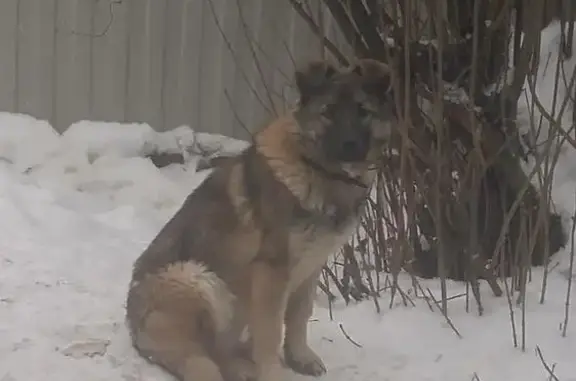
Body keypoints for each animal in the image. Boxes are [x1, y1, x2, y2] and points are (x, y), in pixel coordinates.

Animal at [125, 57, 396, 380]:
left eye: (363, 111)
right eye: (328, 112)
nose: (350, 145)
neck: (317, 170)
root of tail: (134, 329)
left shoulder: (311, 266)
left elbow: (299, 316)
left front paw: (299, 358)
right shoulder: (272, 270)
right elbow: (270, 330)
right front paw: (274, 372)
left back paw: (242, 366)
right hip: (196, 278)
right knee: (202, 355)